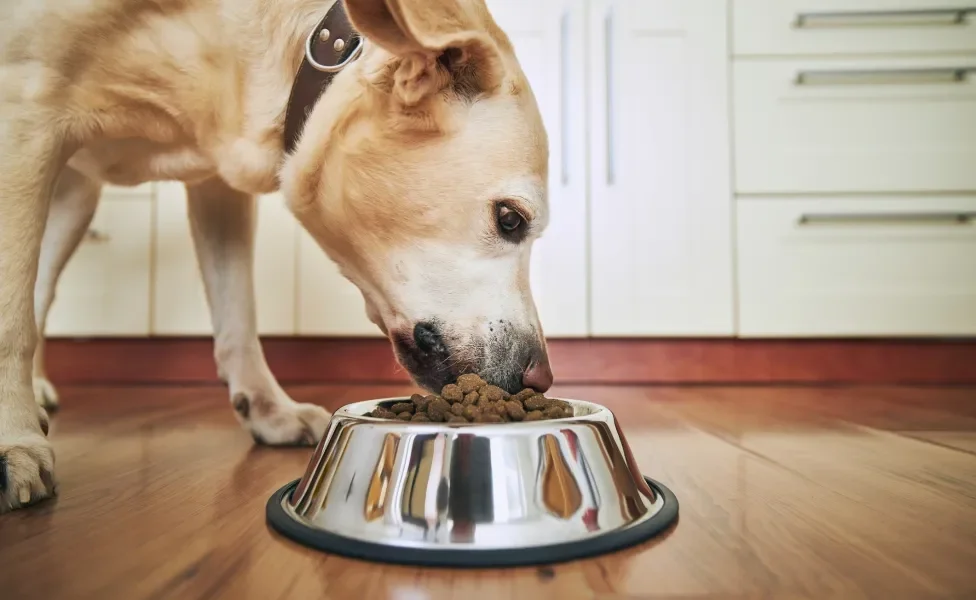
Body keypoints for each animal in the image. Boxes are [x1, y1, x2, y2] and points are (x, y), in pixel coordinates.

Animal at [0, 0, 548, 512]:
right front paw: (14, 442)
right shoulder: (23, 115)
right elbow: (10, 319)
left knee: (42, 287)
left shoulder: (217, 185)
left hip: (75, 198)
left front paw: (268, 409)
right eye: (511, 220)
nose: (541, 378)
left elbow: (238, 316)